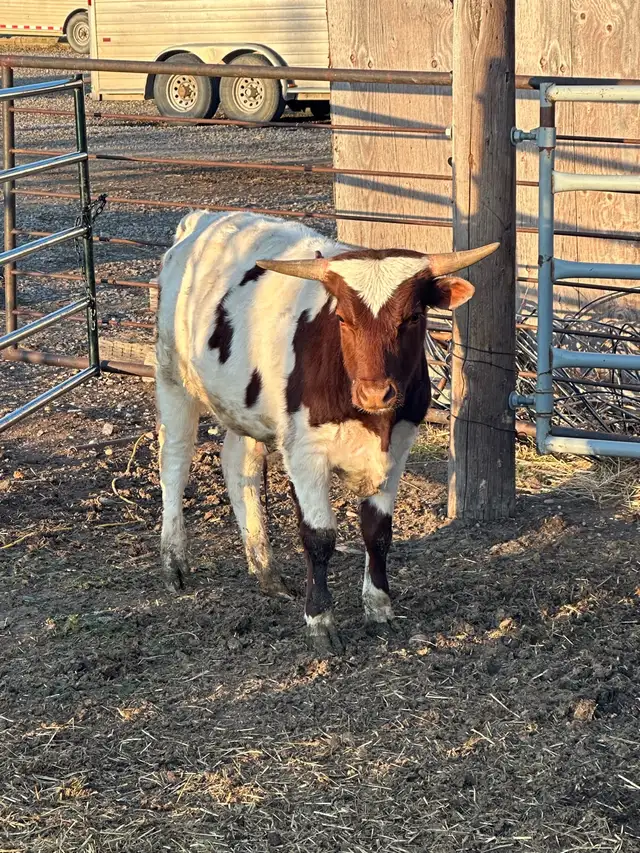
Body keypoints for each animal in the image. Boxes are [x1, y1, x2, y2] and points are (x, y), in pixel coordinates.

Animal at [155, 210, 498, 655]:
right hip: (172, 378)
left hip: (245, 406)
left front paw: (379, 606)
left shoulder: (399, 448)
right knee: (174, 465)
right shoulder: (305, 453)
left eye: (413, 317)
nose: (375, 392)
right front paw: (320, 620)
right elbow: (319, 538)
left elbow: (378, 532)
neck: (372, 420)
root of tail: (202, 220)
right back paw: (174, 561)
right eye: (342, 319)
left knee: (237, 468)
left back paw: (266, 570)